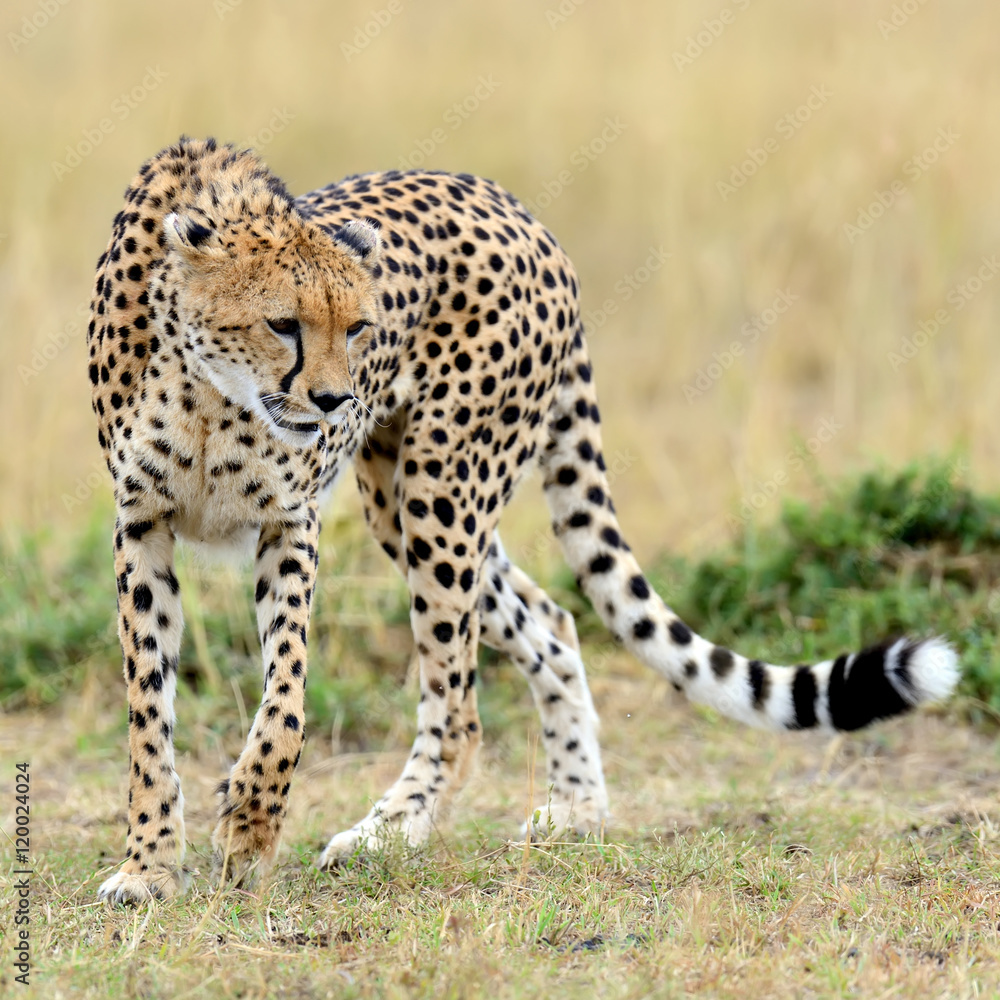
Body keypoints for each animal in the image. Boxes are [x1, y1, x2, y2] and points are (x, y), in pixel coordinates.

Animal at [90, 139, 956, 908]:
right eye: (282, 324)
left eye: (359, 327)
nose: (335, 400)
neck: (211, 388)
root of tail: (520, 211)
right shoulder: (143, 526)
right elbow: (147, 717)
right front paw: (149, 867)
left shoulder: (288, 525)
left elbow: (286, 703)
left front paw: (248, 828)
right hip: (401, 499)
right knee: (552, 621)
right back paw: (577, 809)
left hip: (441, 484)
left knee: (460, 703)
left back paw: (390, 830)